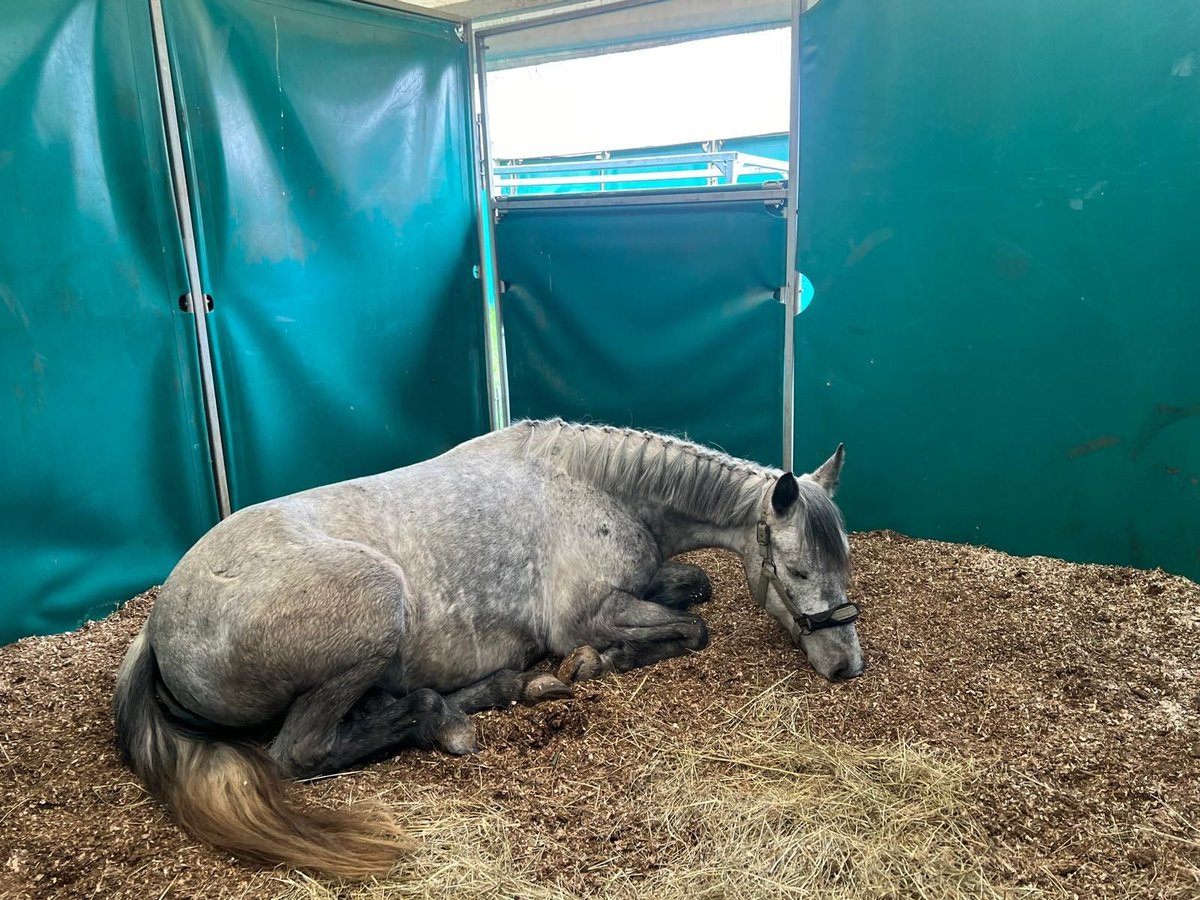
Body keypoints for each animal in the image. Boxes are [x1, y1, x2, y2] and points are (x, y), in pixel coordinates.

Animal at [114, 419, 863, 878]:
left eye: (845, 562)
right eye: (798, 571)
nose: (847, 666)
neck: (594, 487)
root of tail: (157, 625)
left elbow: (694, 588)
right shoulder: (587, 615)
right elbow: (688, 629)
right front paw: (593, 664)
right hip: (374, 609)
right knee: (301, 751)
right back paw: (447, 715)